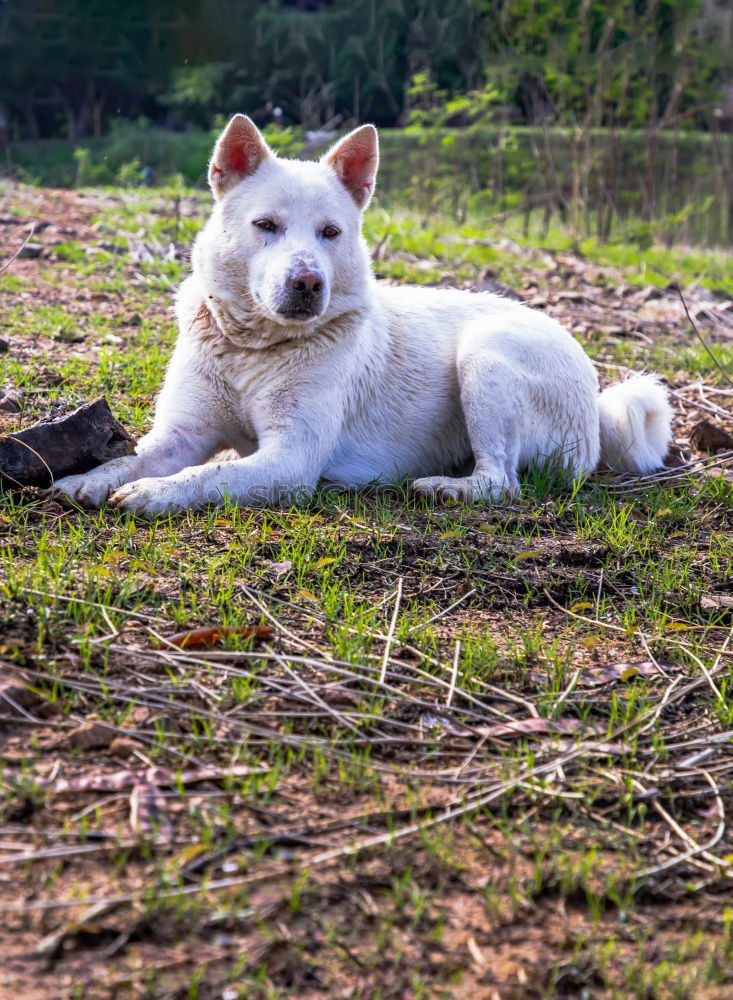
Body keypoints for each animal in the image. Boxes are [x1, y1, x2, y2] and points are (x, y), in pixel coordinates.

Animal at [54, 115, 672, 516]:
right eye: (266, 226)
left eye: (330, 233)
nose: (308, 283)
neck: (254, 349)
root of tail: (596, 397)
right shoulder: (180, 434)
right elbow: (134, 459)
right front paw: (89, 479)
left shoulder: (291, 459)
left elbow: (212, 472)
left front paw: (157, 494)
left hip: (486, 358)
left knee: (504, 482)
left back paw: (450, 488)